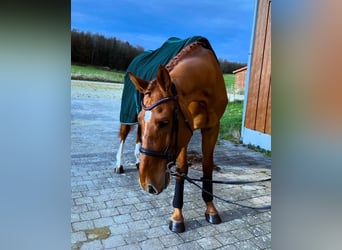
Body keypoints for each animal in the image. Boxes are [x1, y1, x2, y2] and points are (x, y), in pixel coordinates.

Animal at [127, 41, 228, 232]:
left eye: (164, 122)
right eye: (141, 119)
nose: (146, 184)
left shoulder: (212, 128)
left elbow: (207, 166)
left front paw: (211, 209)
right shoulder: (185, 131)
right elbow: (181, 170)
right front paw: (177, 217)